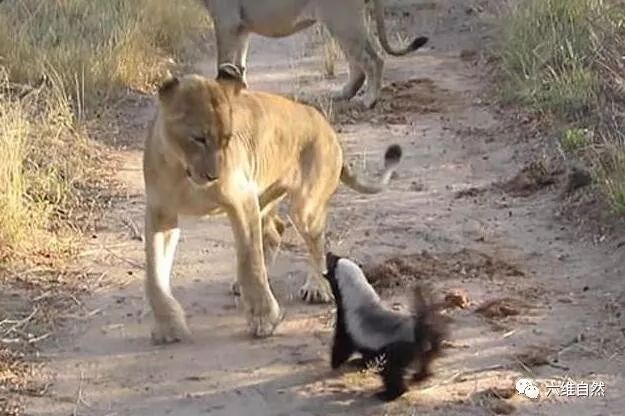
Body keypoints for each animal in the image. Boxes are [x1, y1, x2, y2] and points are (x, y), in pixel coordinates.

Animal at [142, 63, 402, 340]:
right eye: (198, 138)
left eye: (227, 138)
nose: (214, 176)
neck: (181, 170)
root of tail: (325, 124)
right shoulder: (161, 213)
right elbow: (154, 275)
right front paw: (169, 327)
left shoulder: (242, 200)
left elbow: (250, 262)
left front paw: (264, 319)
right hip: (264, 195)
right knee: (275, 231)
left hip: (304, 207)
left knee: (315, 242)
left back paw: (316, 287)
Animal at [202, 0, 426, 109]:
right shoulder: (240, 27)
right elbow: (238, 64)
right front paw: (241, 90)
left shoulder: (226, 23)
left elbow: (224, 62)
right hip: (344, 23)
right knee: (357, 63)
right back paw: (343, 94)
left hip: (343, 20)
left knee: (373, 59)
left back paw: (368, 101)